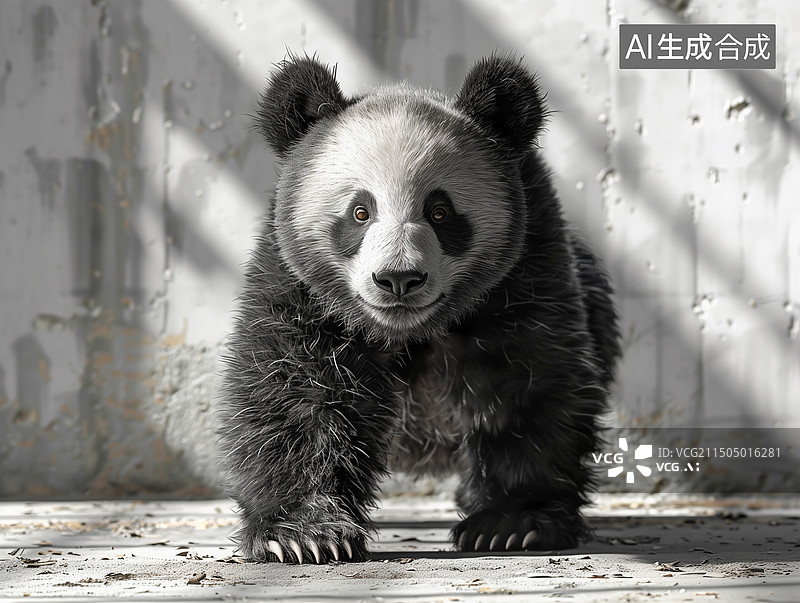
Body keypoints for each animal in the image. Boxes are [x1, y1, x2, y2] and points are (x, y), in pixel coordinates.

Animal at [220, 53, 621, 564]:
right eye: (360, 211)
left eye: (440, 211)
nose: (398, 279)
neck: (406, 328)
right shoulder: (298, 281)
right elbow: (297, 385)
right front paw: (303, 533)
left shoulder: (528, 260)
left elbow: (525, 377)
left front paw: (512, 522)